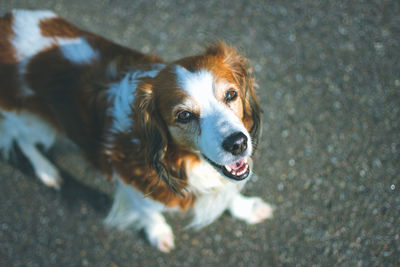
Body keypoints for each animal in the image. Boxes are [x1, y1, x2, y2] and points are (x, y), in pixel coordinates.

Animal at [0, 9, 274, 253]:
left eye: (231, 94)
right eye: (184, 115)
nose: (237, 143)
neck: (181, 158)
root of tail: (7, 20)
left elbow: (230, 190)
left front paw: (247, 209)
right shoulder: (130, 179)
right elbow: (148, 211)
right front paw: (158, 233)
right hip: (35, 123)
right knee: (22, 140)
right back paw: (46, 171)